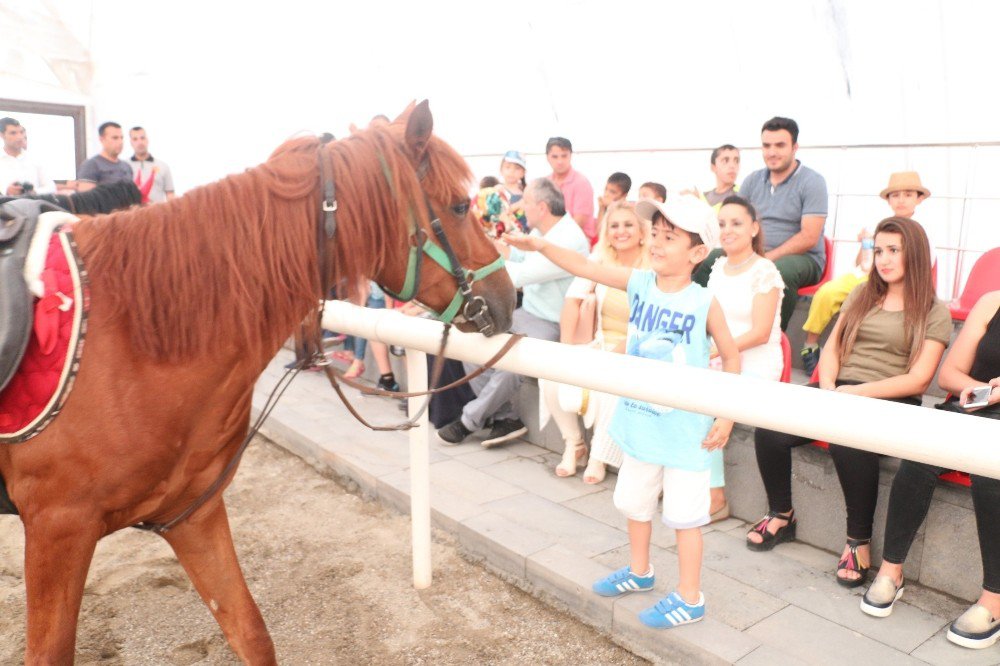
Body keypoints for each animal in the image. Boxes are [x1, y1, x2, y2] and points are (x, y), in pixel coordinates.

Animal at [0, 101, 516, 660]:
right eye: (461, 206)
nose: (509, 296)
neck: (135, 336)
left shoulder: (192, 515)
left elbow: (251, 634)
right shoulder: (58, 530)